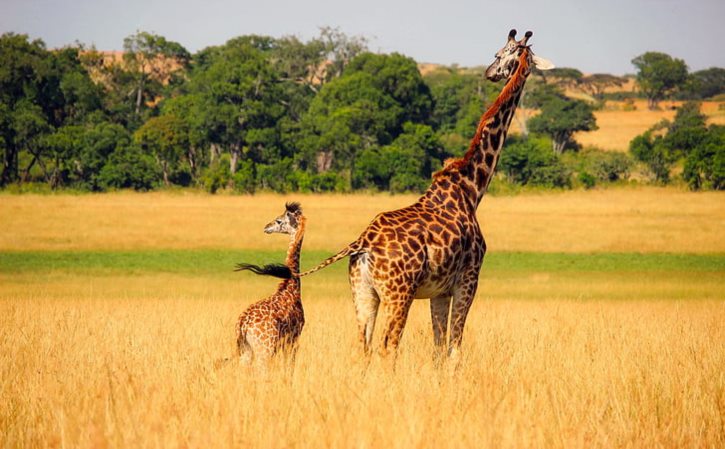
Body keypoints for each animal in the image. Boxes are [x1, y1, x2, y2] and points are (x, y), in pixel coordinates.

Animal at [233, 200, 304, 364]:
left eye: (279, 220)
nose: (266, 227)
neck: (291, 286)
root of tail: (243, 325)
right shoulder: (294, 338)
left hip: (246, 351)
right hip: (264, 349)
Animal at [296, 29, 552, 356]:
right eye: (498, 53)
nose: (490, 72)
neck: (472, 187)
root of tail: (362, 244)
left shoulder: (439, 291)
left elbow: (438, 348)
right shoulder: (468, 279)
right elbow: (454, 347)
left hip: (363, 292)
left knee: (364, 346)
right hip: (399, 293)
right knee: (388, 345)